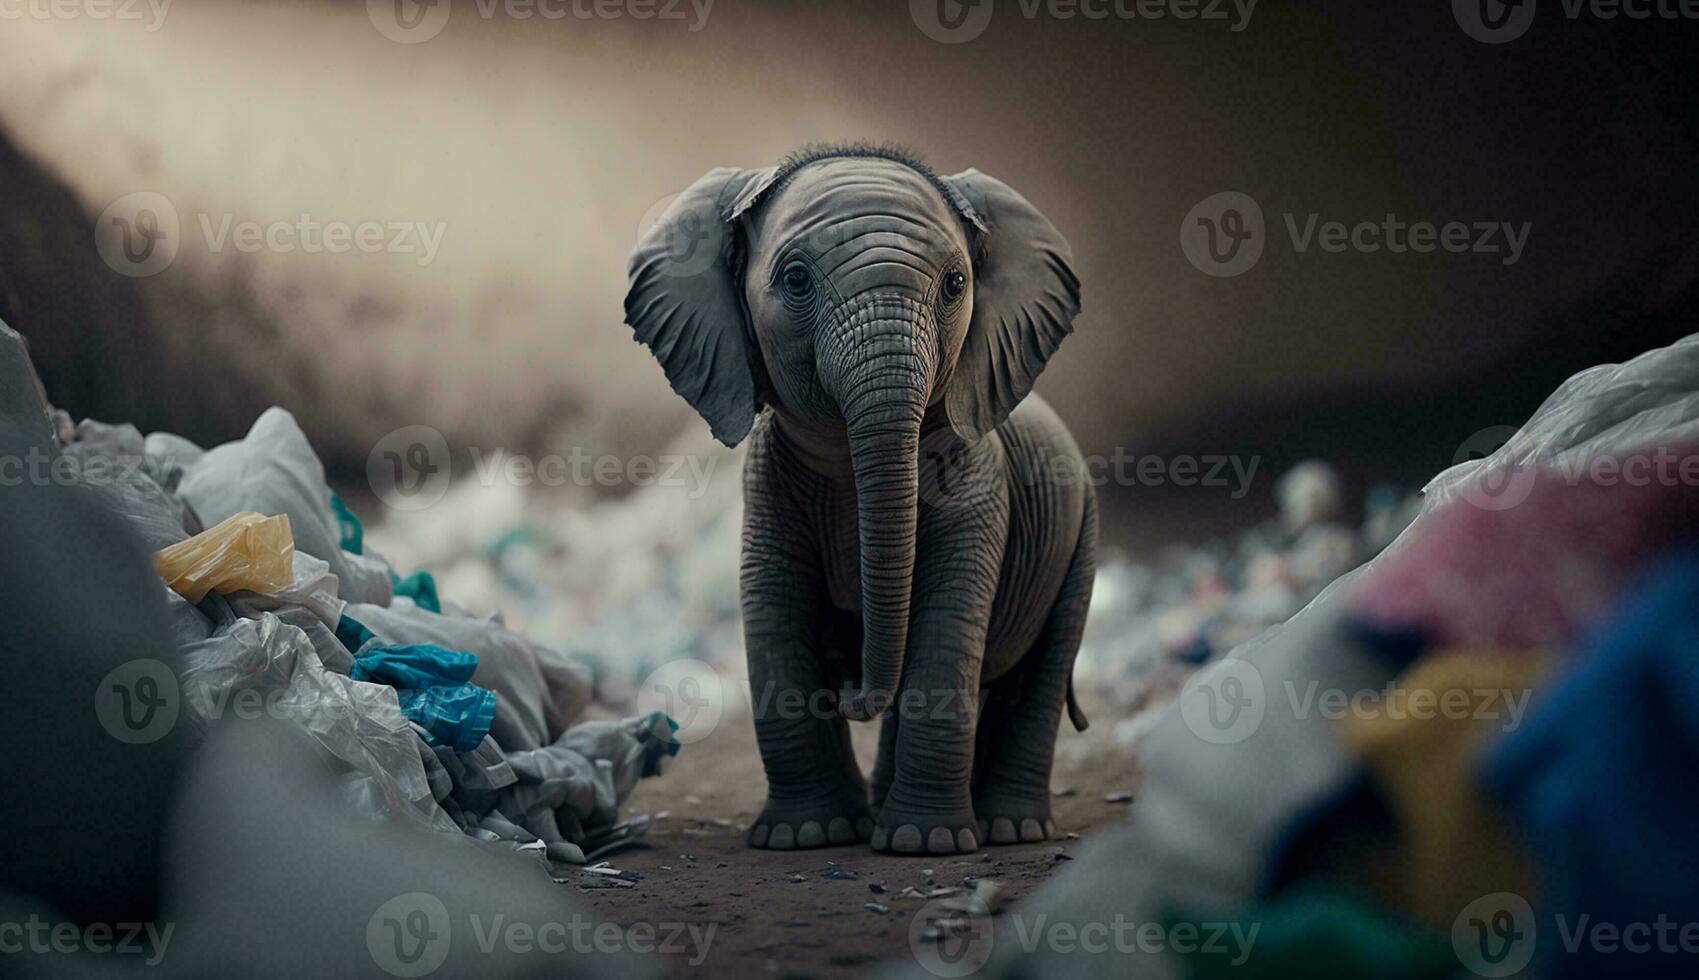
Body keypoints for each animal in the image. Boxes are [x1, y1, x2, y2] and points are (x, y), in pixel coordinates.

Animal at [632, 140, 1094, 852]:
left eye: (956, 285)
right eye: (795, 281)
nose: (850, 692)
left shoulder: (977, 482)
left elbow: (946, 632)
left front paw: (926, 844)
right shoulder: (768, 487)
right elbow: (774, 619)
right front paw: (808, 835)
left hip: (1082, 536)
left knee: (1039, 677)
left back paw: (1010, 828)